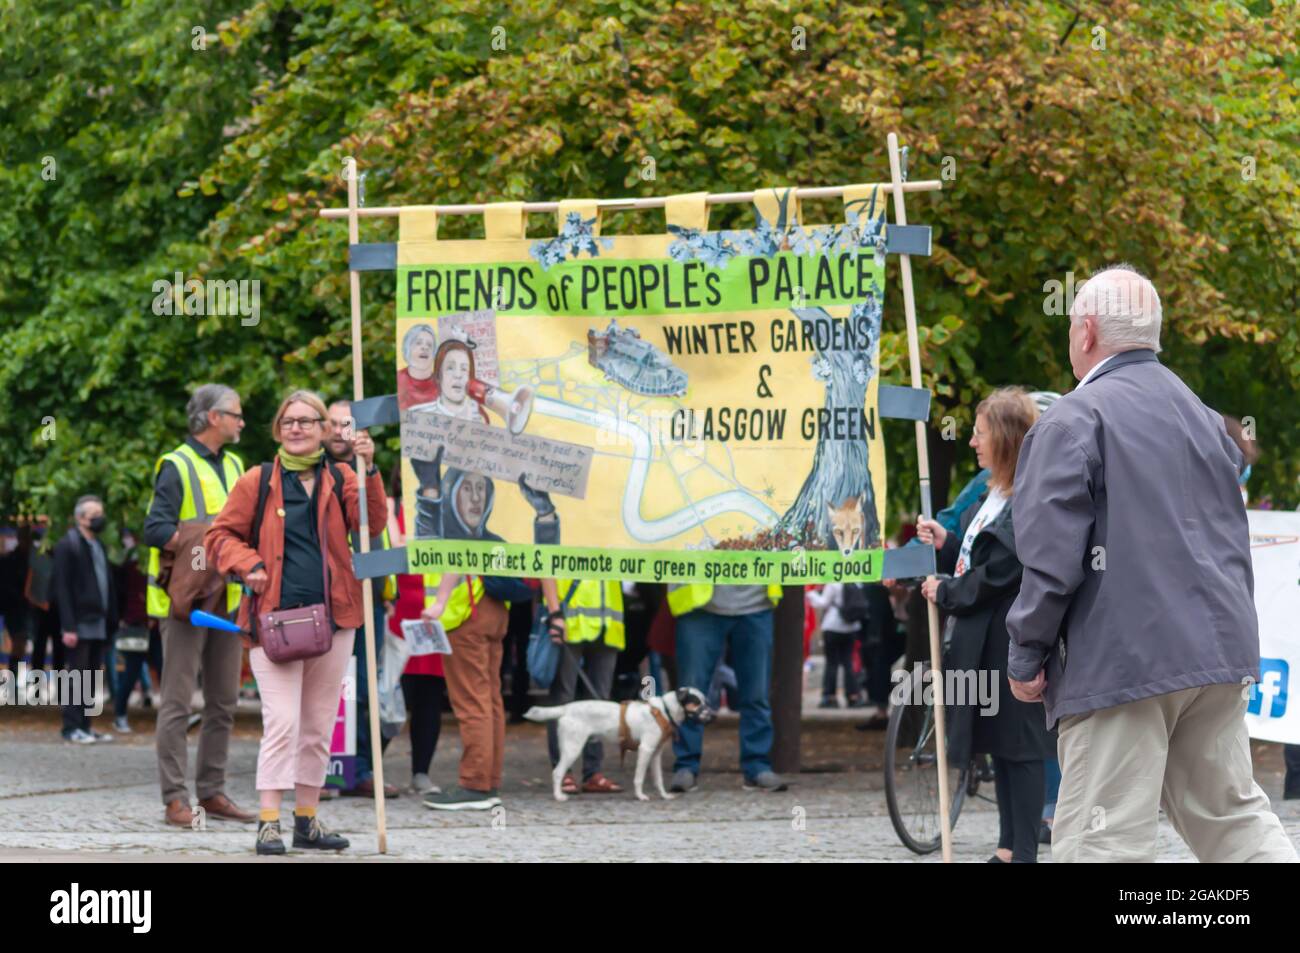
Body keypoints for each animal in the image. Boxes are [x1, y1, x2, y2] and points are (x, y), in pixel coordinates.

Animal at [522, 686, 717, 800]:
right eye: (696, 702)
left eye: (705, 701)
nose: (714, 716)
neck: (664, 710)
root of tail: (566, 708)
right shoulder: (645, 750)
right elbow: (639, 778)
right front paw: (640, 796)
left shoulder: (655, 754)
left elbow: (658, 779)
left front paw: (664, 795)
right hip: (572, 749)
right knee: (557, 772)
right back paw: (558, 796)